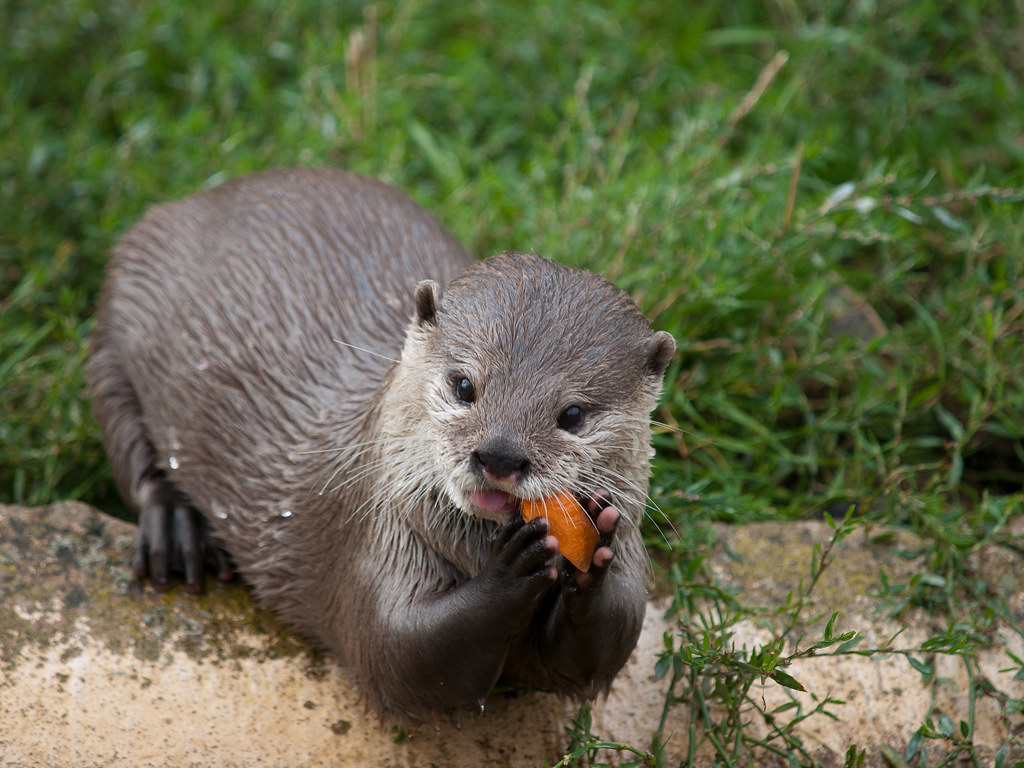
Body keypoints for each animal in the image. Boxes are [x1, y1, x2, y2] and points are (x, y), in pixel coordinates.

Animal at [87, 167, 675, 723]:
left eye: (572, 415)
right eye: (465, 385)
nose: (500, 456)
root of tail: (203, 195)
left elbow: (602, 645)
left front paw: (593, 557)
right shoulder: (369, 540)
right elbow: (400, 653)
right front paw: (510, 569)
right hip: (116, 321)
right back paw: (176, 529)